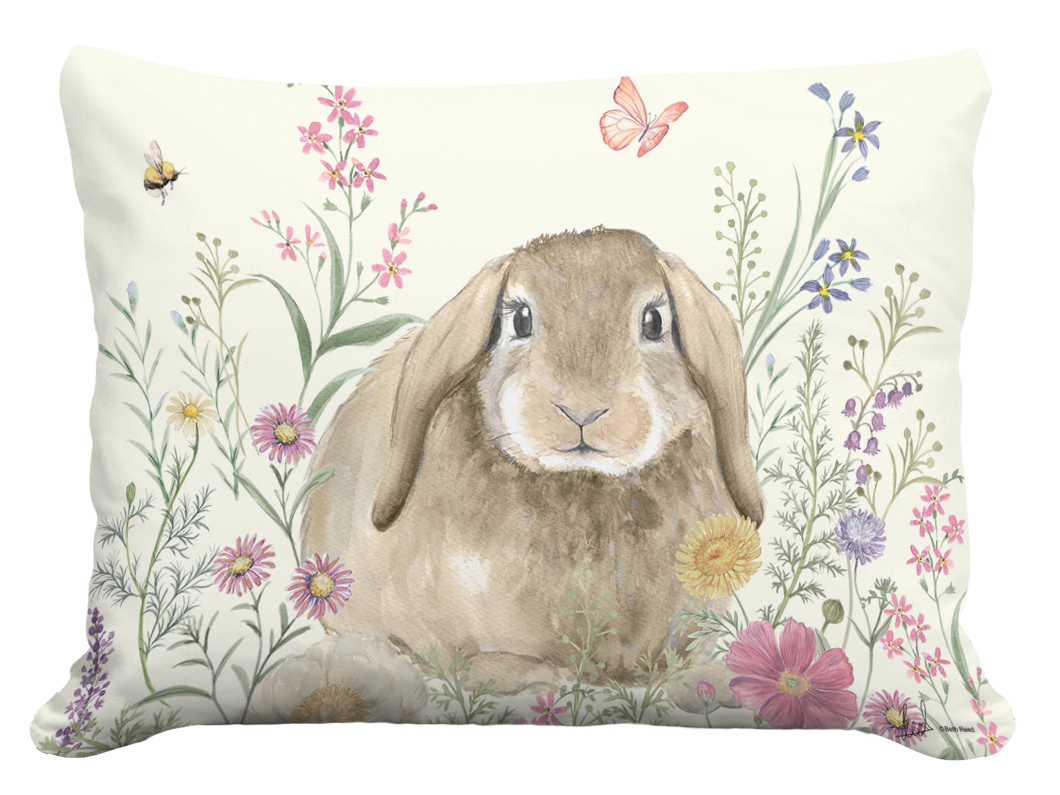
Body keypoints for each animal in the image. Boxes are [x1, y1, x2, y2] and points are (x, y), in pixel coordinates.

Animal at [299, 226, 765, 712]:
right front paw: (533, 678)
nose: (582, 410)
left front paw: (708, 682)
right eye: (520, 319)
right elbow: (480, 660)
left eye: (654, 321)